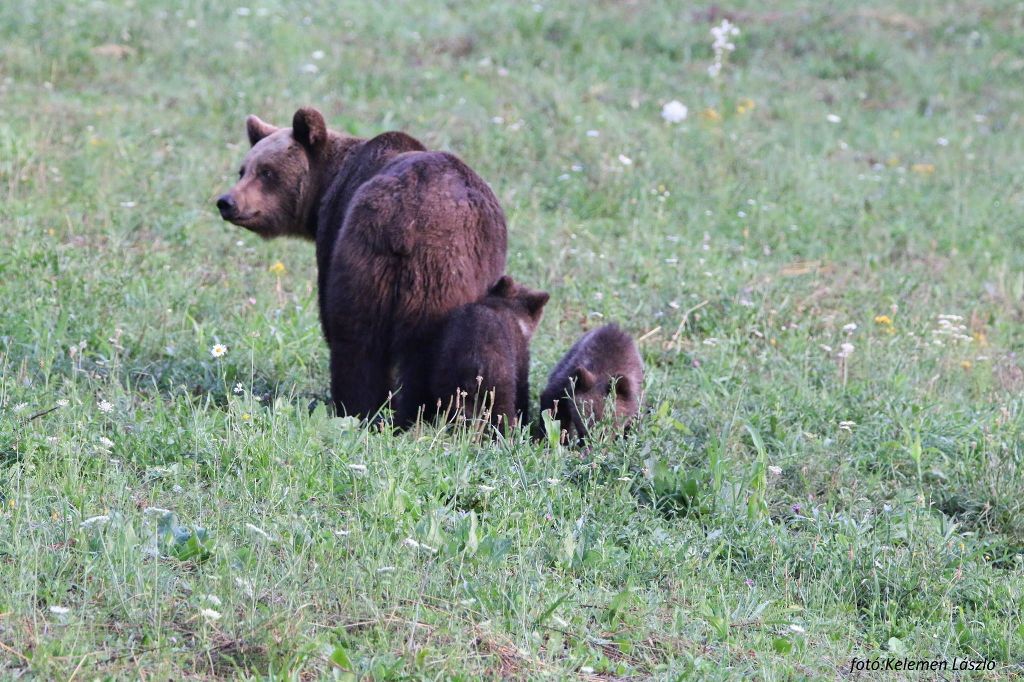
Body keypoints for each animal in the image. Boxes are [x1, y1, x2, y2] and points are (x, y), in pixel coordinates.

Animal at [216, 107, 507, 421]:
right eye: (243, 170)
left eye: (267, 171)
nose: (227, 201)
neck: (327, 185)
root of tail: (407, 220)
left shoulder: (333, 228)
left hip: (391, 260)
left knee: (358, 340)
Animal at [428, 274, 548, 428]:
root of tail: (472, 360)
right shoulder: (520, 353)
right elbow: (522, 388)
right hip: (498, 377)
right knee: (502, 409)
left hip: (448, 379)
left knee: (457, 409)